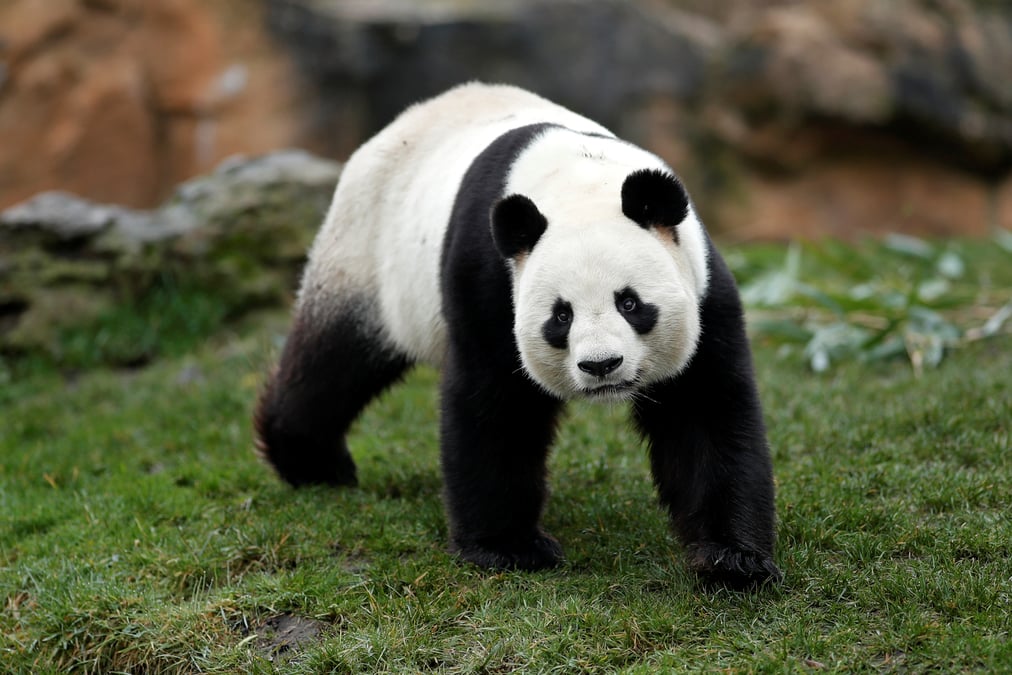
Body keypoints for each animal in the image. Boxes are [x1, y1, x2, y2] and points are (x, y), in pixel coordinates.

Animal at [254, 82, 781, 588]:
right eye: (561, 316)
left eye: (629, 303)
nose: (601, 366)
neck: (582, 184)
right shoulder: (488, 278)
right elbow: (494, 404)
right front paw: (510, 548)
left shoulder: (703, 287)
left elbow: (705, 410)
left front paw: (731, 560)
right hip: (368, 257)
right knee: (334, 363)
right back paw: (312, 463)